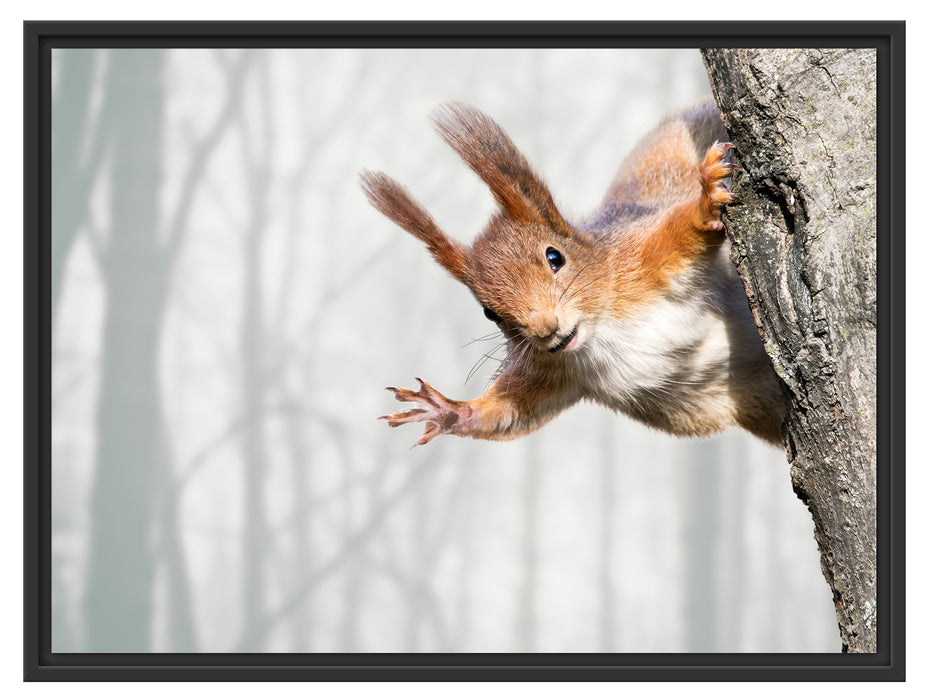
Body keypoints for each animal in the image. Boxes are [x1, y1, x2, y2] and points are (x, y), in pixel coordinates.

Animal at [362, 98, 788, 448]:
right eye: (489, 312)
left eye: (555, 257)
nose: (546, 330)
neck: (600, 330)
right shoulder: (552, 370)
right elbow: (510, 412)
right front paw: (448, 410)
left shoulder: (639, 260)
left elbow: (680, 231)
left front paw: (706, 200)